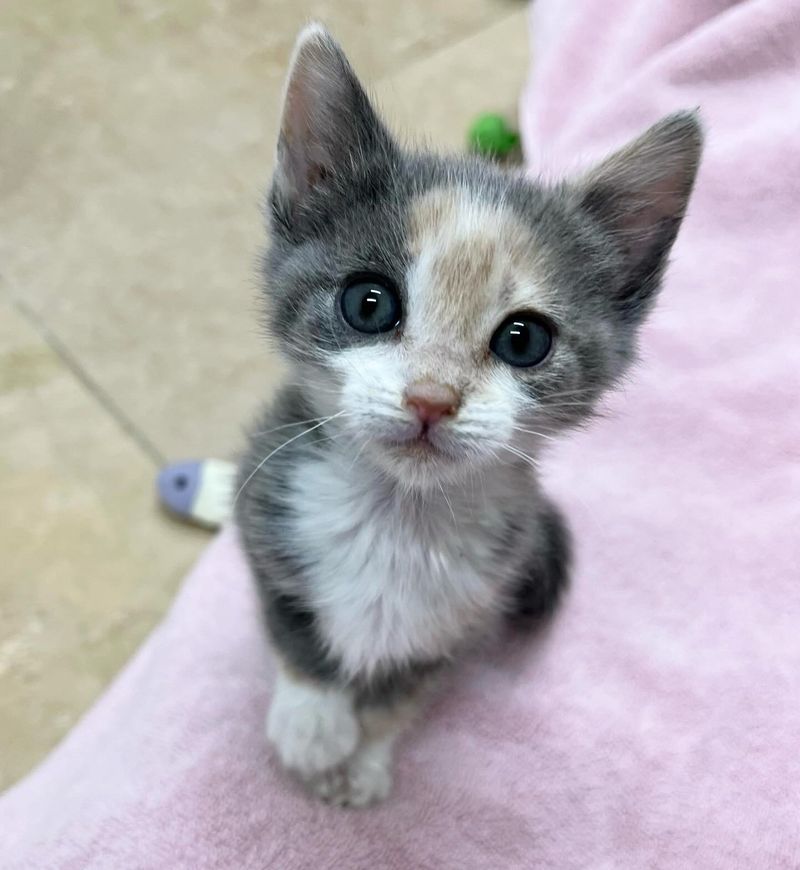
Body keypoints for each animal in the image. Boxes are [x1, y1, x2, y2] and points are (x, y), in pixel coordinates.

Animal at [234, 22, 704, 812]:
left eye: (524, 340)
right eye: (368, 303)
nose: (431, 397)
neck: (397, 516)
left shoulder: (468, 613)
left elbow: (407, 688)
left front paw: (364, 755)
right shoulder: (263, 506)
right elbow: (290, 620)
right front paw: (313, 723)